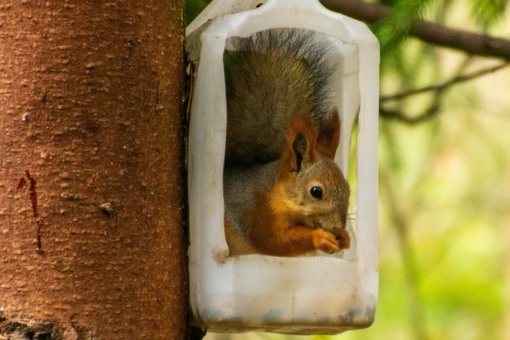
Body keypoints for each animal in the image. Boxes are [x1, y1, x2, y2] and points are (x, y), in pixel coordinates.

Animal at [223, 29, 350, 256]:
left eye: (348, 188)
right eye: (316, 192)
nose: (337, 227)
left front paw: (344, 237)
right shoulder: (257, 212)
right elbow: (275, 242)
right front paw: (319, 237)